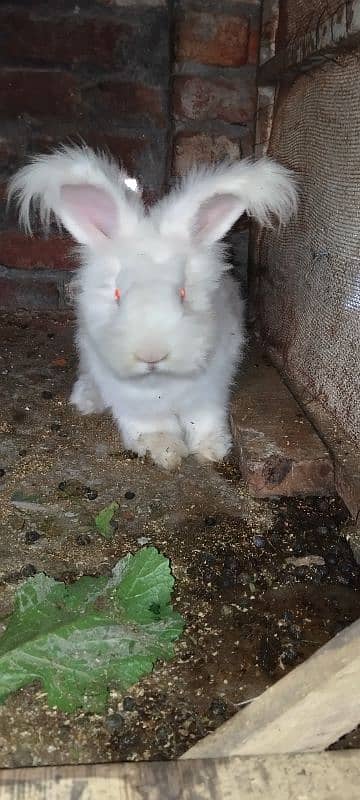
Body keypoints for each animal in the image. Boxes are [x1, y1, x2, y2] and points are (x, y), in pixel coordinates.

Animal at [8, 147, 296, 468]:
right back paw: (86, 400)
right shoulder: (137, 404)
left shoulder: (209, 392)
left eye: (182, 293)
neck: (160, 382)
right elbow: (153, 427)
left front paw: (212, 449)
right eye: (118, 295)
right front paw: (165, 452)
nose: (151, 354)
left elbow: (204, 419)